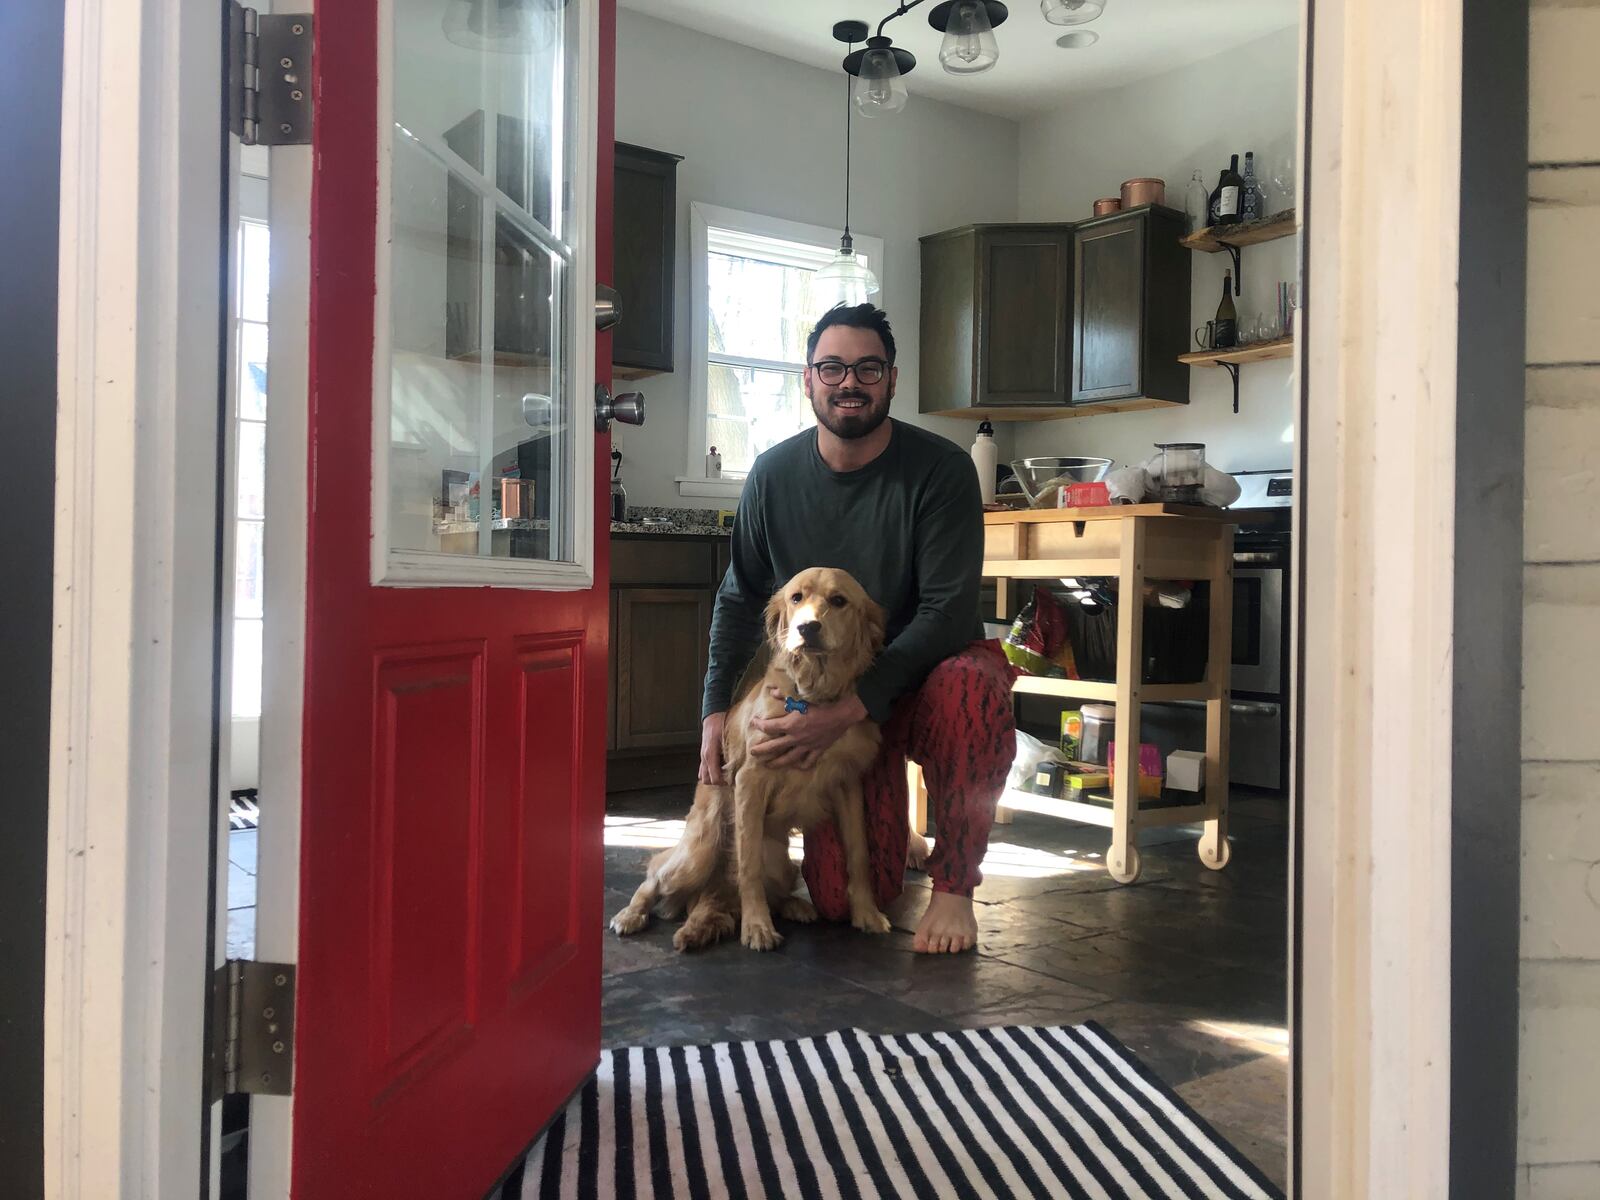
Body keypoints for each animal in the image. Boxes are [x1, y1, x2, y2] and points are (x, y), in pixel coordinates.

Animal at [608, 569, 896, 953]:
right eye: (796, 598)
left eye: (839, 601)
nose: (808, 628)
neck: (812, 697)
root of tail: (706, 892)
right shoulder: (751, 780)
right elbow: (748, 865)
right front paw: (757, 926)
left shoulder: (848, 784)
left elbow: (859, 853)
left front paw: (866, 913)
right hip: (697, 852)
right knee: (654, 877)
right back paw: (630, 915)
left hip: (783, 866)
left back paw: (795, 906)